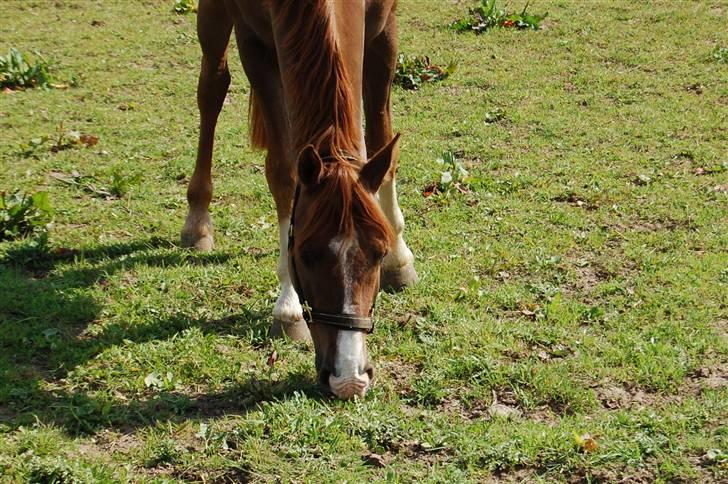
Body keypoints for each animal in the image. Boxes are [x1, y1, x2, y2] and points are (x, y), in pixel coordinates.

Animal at [181, 0, 416, 398]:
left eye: (378, 251)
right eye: (304, 254)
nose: (348, 378)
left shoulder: (385, 26)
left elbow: (382, 142)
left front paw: (399, 260)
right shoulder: (254, 43)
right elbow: (284, 172)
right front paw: (288, 308)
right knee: (212, 86)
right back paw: (197, 221)